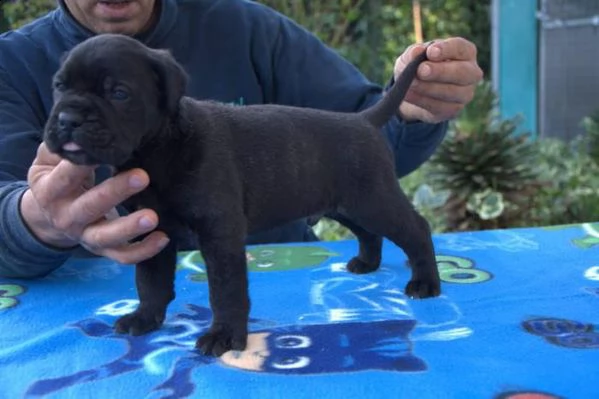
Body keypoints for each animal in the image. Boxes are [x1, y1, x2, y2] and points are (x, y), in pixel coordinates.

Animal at [43, 34, 440, 358]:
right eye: (59, 86)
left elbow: (226, 289)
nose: (68, 118)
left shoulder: (220, 235)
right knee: (369, 233)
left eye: (118, 93)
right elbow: (150, 280)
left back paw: (425, 283)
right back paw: (367, 264)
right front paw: (145, 318)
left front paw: (224, 336)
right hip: (344, 204)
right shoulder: (150, 229)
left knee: (416, 229)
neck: (158, 149)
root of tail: (363, 120)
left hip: (374, 200)